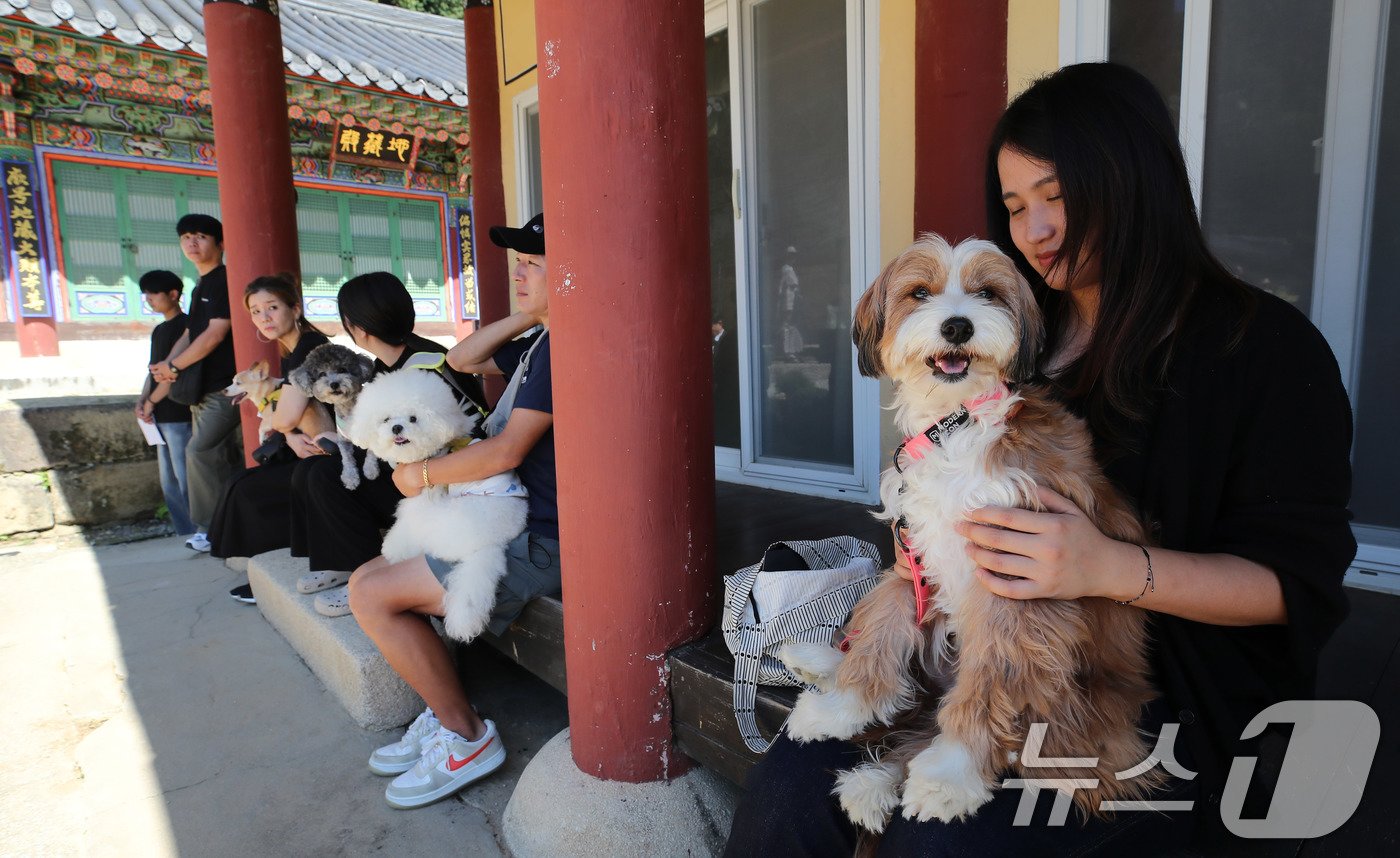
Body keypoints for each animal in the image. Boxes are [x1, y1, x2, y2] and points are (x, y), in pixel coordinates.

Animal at [347, 363, 526, 638]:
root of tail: (490, 545)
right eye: (386, 419)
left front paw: (392, 546)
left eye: (413, 418)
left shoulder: (423, 499)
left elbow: (404, 522)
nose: (397, 428)